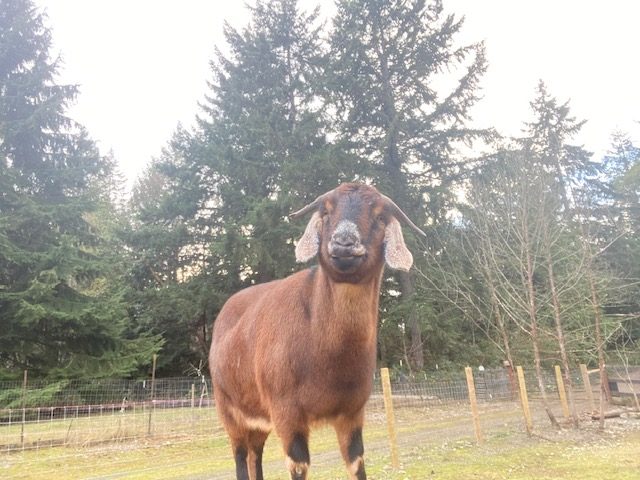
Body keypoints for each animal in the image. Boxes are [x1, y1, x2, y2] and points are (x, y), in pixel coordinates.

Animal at [209, 183, 425, 480]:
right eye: (326, 211)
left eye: (380, 216)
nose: (344, 242)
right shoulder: (287, 413)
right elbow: (298, 466)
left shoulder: (352, 411)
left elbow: (357, 462)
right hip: (228, 409)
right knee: (241, 455)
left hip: (258, 416)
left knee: (256, 453)